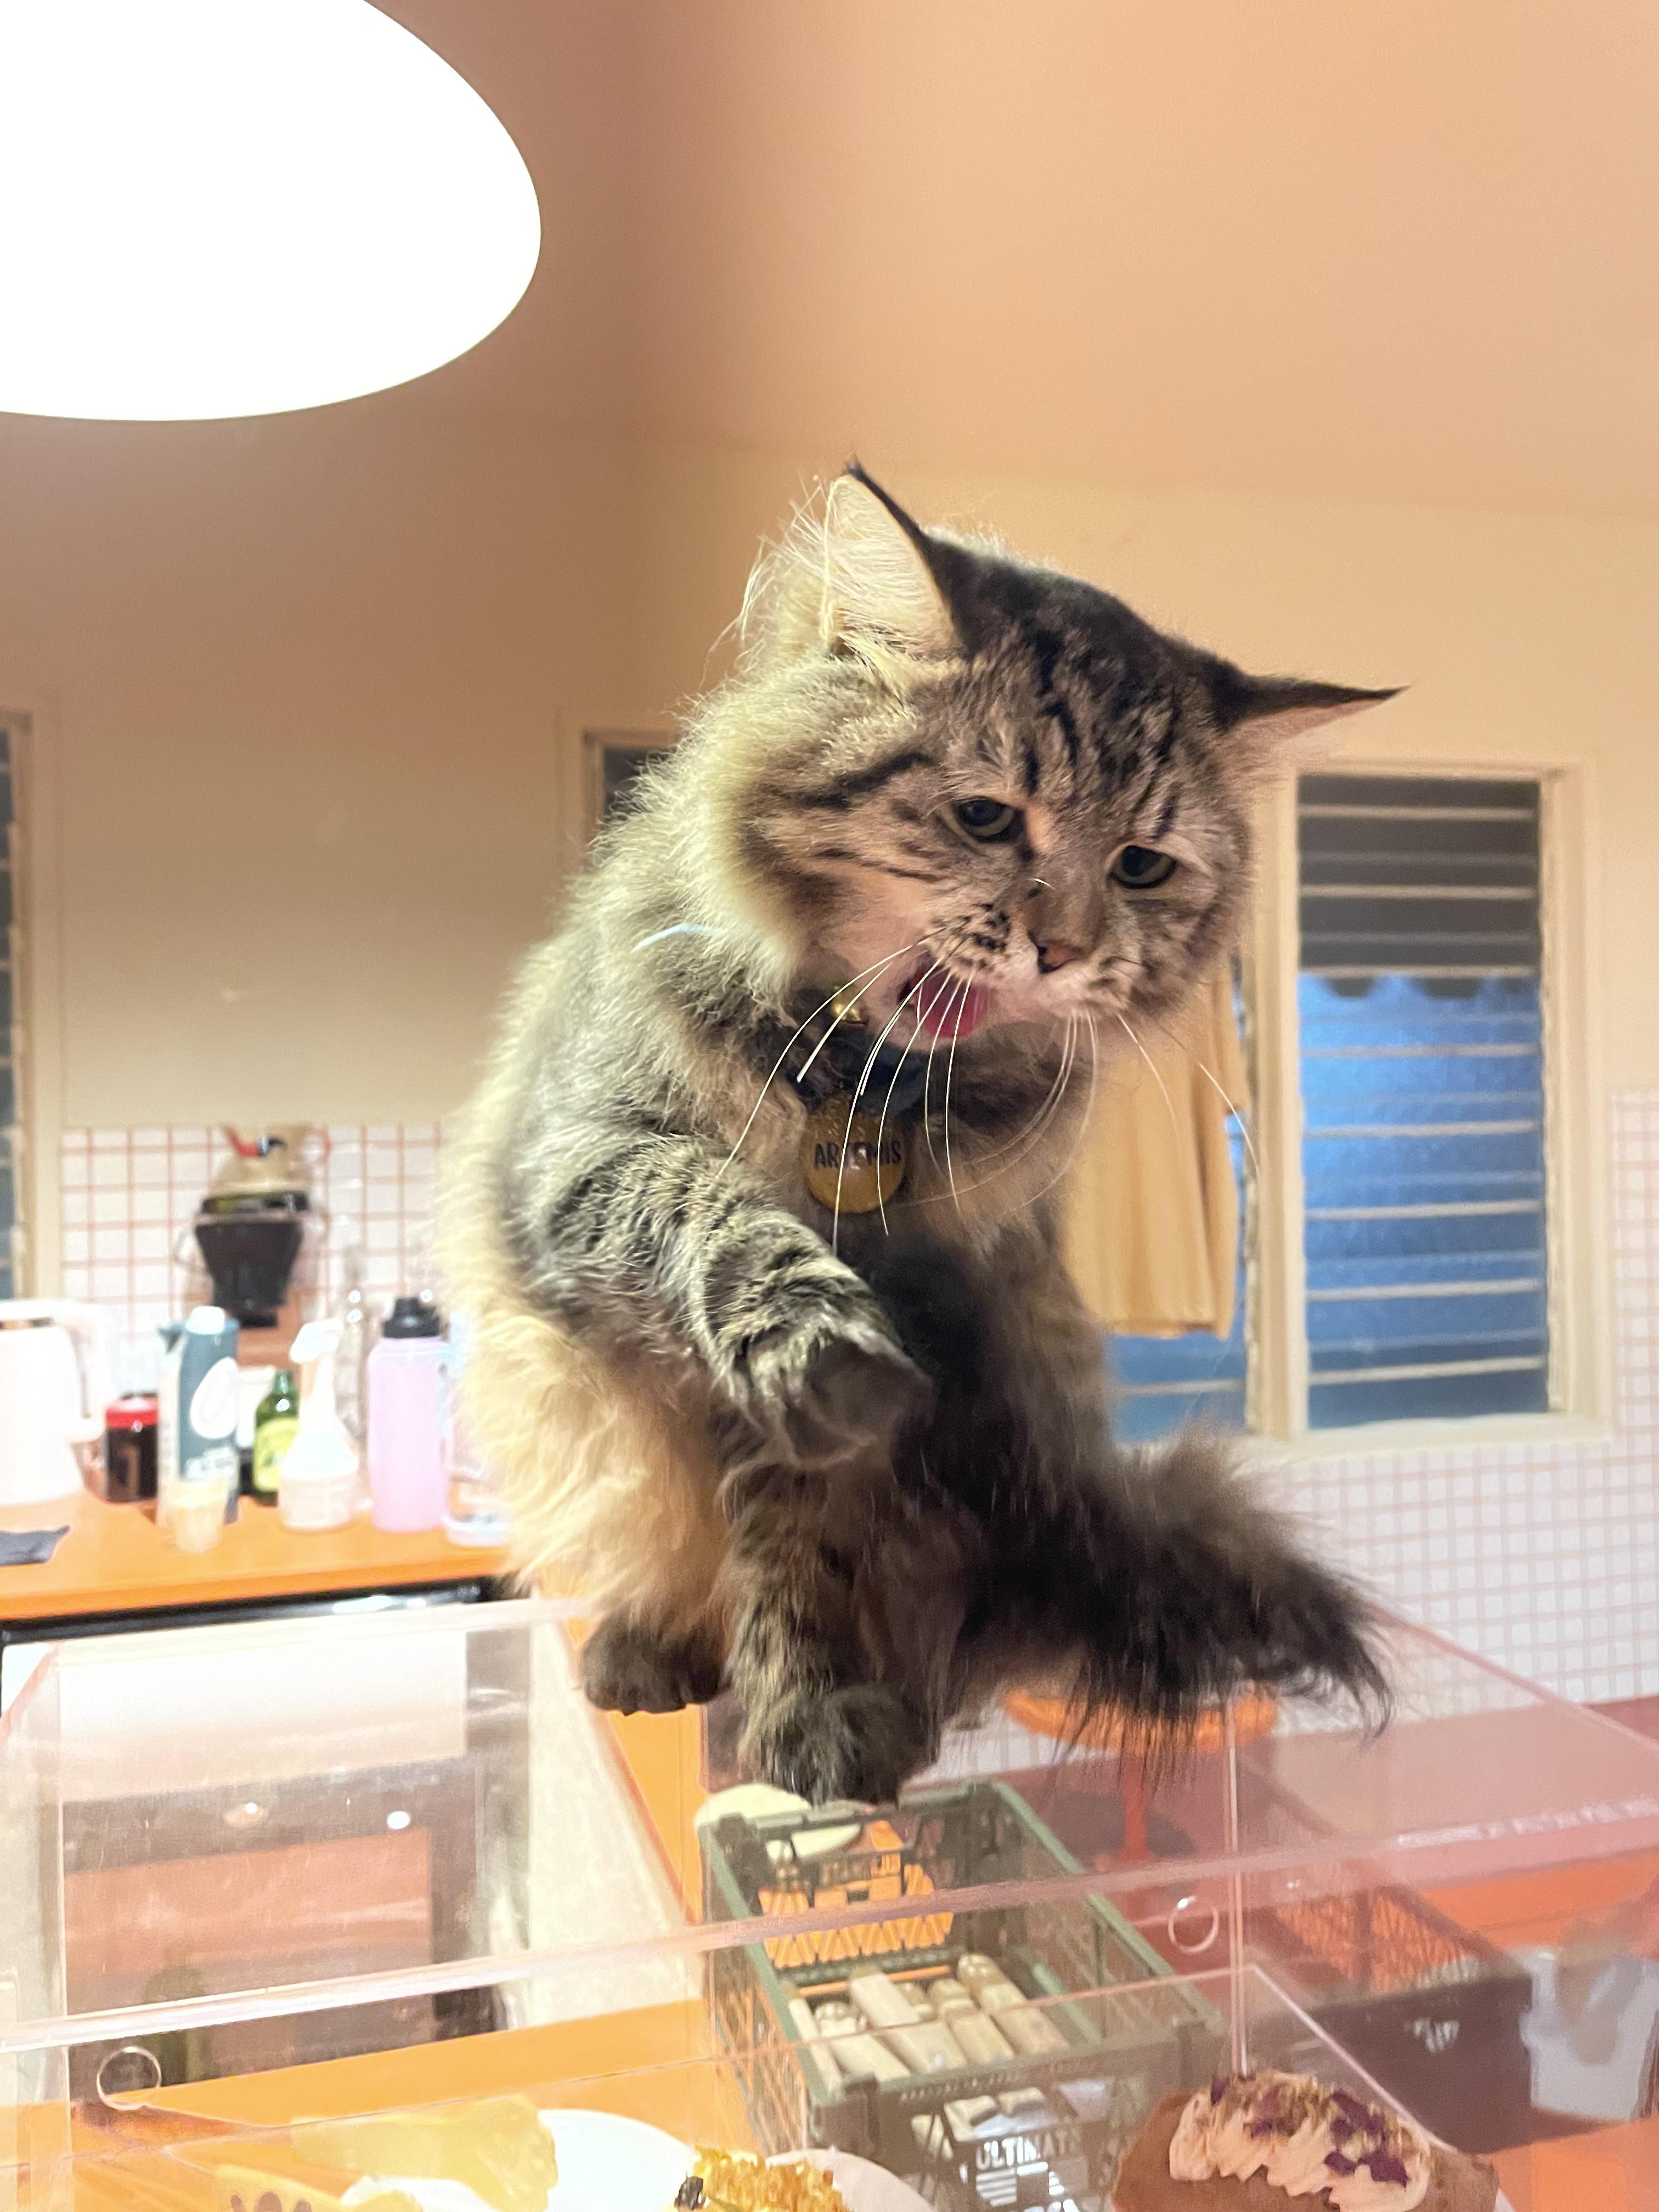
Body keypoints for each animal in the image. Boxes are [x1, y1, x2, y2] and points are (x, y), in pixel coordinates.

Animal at [441, 466, 1393, 1804]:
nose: (1064, 948)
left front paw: (822, 1723)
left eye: (1141, 867)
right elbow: (717, 1220)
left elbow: (807, 1547)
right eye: (987, 818)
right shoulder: (584, 1156)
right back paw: (650, 1655)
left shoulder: (935, 1319)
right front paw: (815, 1339)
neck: (867, 1087)